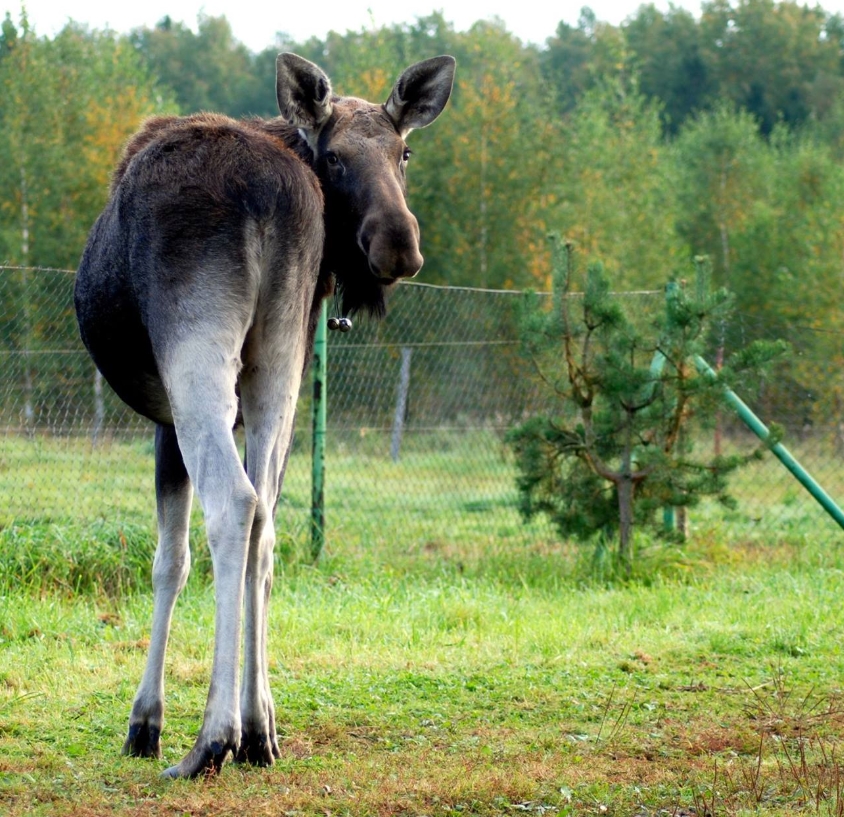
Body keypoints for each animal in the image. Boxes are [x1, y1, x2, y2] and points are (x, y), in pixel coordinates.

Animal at [74, 52, 454, 776]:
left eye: (404, 151)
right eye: (334, 156)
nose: (398, 243)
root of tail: (268, 201)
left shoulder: (164, 421)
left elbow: (169, 561)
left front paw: (145, 721)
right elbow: (262, 545)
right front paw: (259, 720)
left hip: (198, 355)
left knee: (234, 506)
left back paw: (211, 738)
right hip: (279, 360)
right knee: (266, 525)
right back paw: (256, 729)